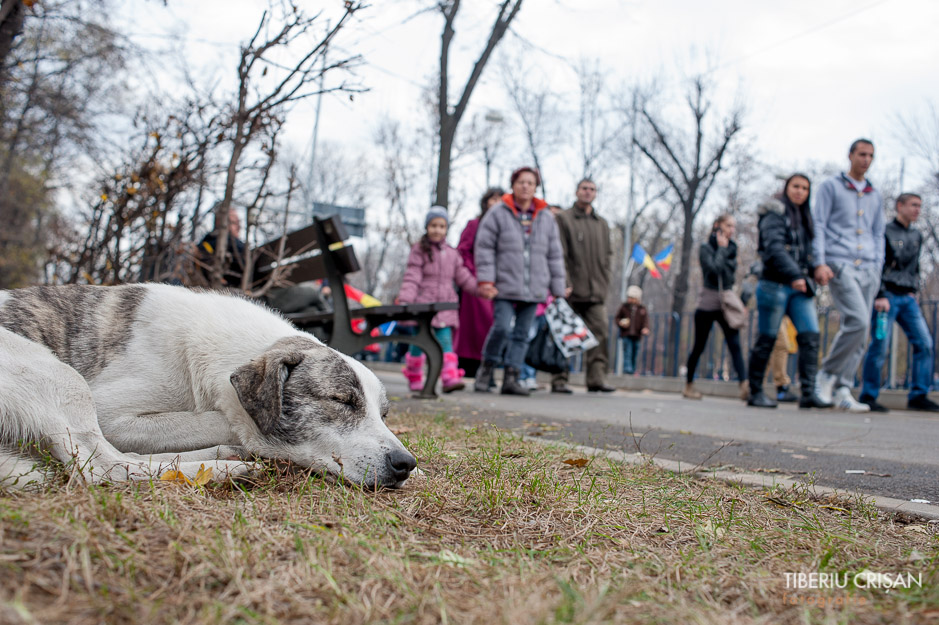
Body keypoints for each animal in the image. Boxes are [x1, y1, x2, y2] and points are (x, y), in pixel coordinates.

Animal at [0, 286, 414, 490]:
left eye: (383, 414)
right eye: (342, 401)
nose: (405, 463)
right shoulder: (114, 415)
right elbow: (226, 420)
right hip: (61, 377)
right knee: (104, 466)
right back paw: (225, 469)